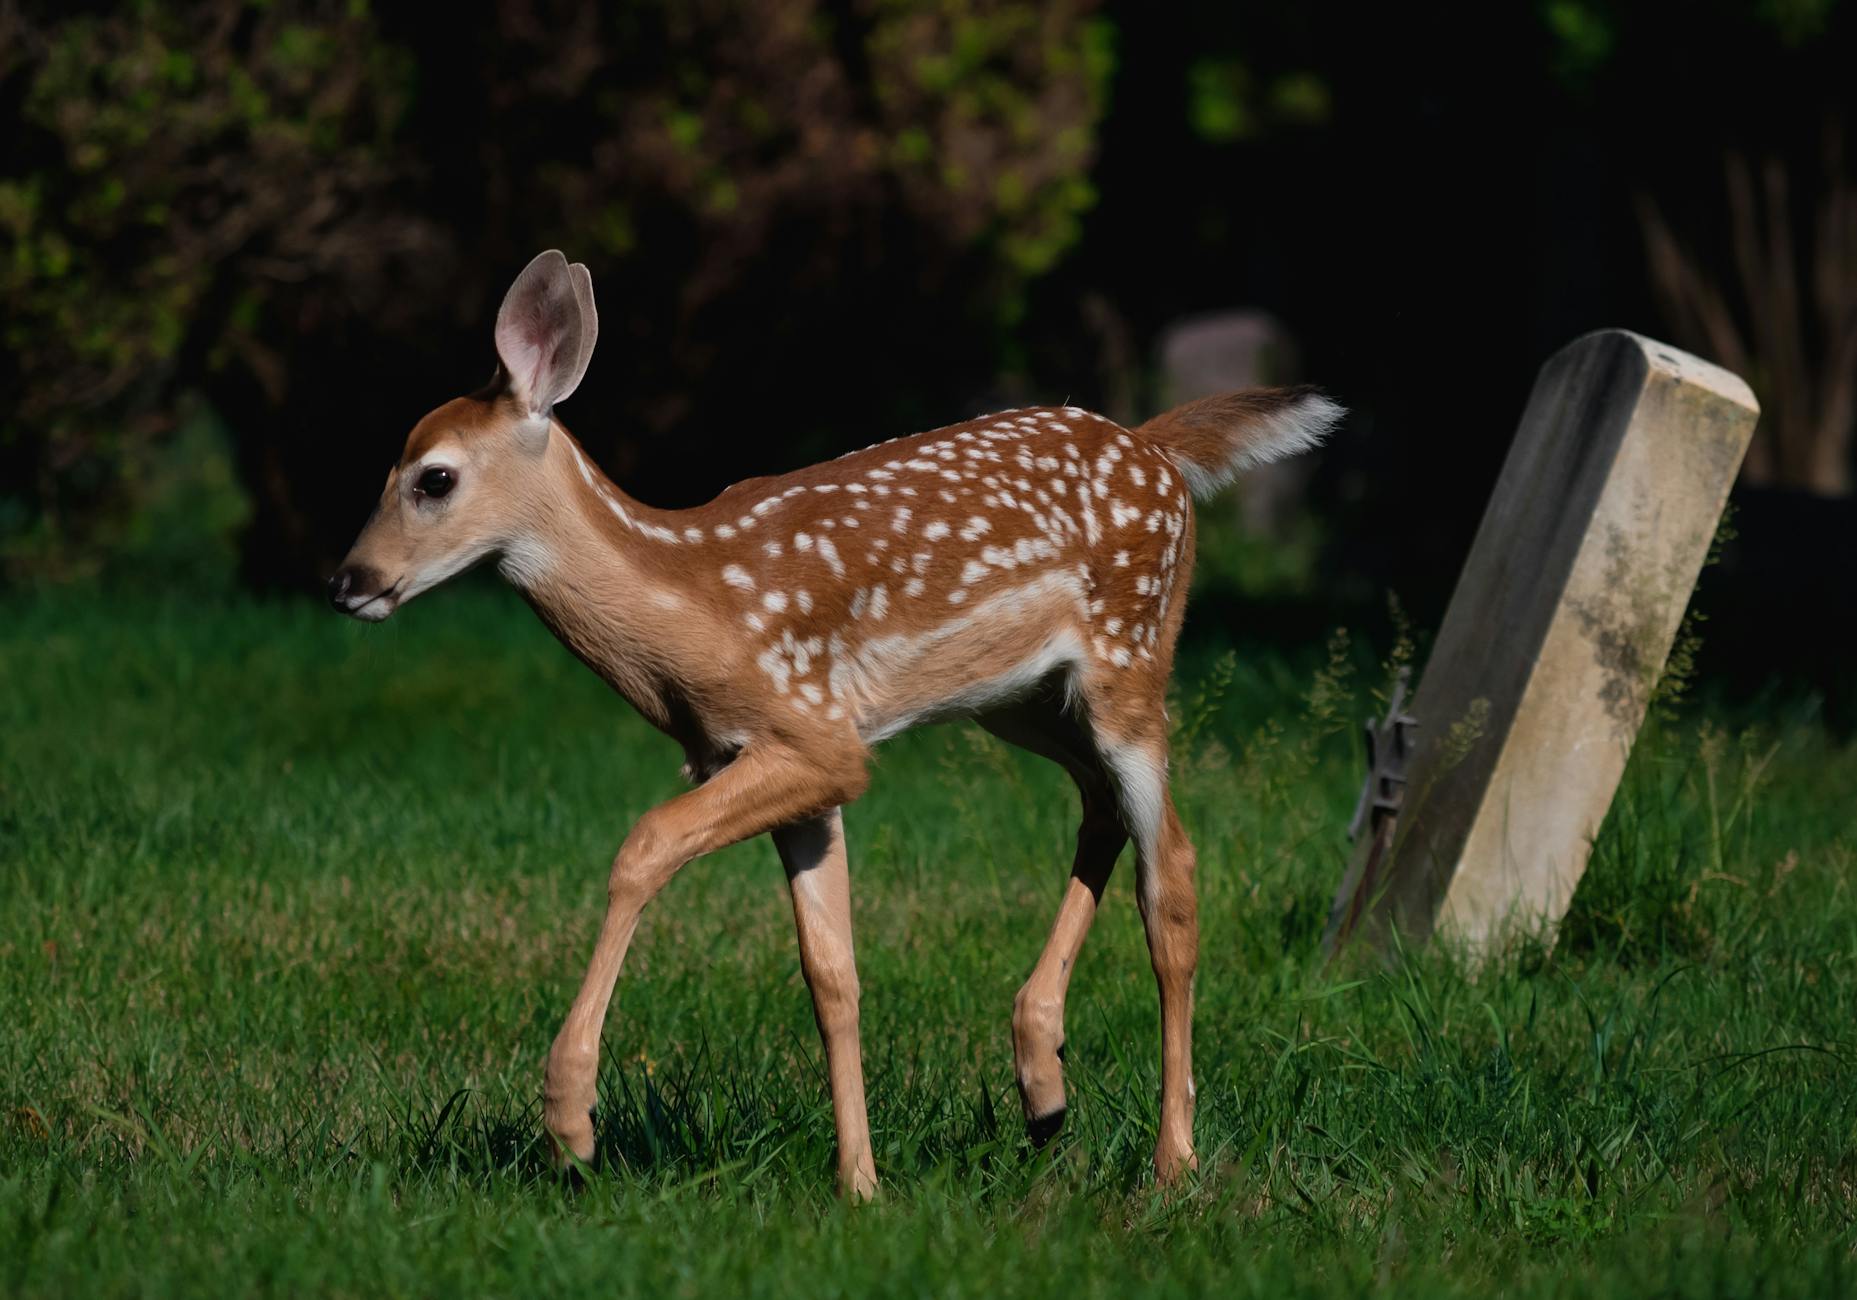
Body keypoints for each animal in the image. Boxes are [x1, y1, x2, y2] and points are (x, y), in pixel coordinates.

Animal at [328, 250, 1343, 1198]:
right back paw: (1041, 1084)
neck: (694, 608)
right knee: (1100, 810)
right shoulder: (791, 769)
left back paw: (1172, 1160)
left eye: (433, 478)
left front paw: (570, 1122)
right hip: (1021, 702)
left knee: (1171, 874)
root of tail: (1155, 448)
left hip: (1132, 657)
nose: (347, 581)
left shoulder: (816, 736)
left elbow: (644, 845)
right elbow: (831, 974)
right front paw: (859, 1182)